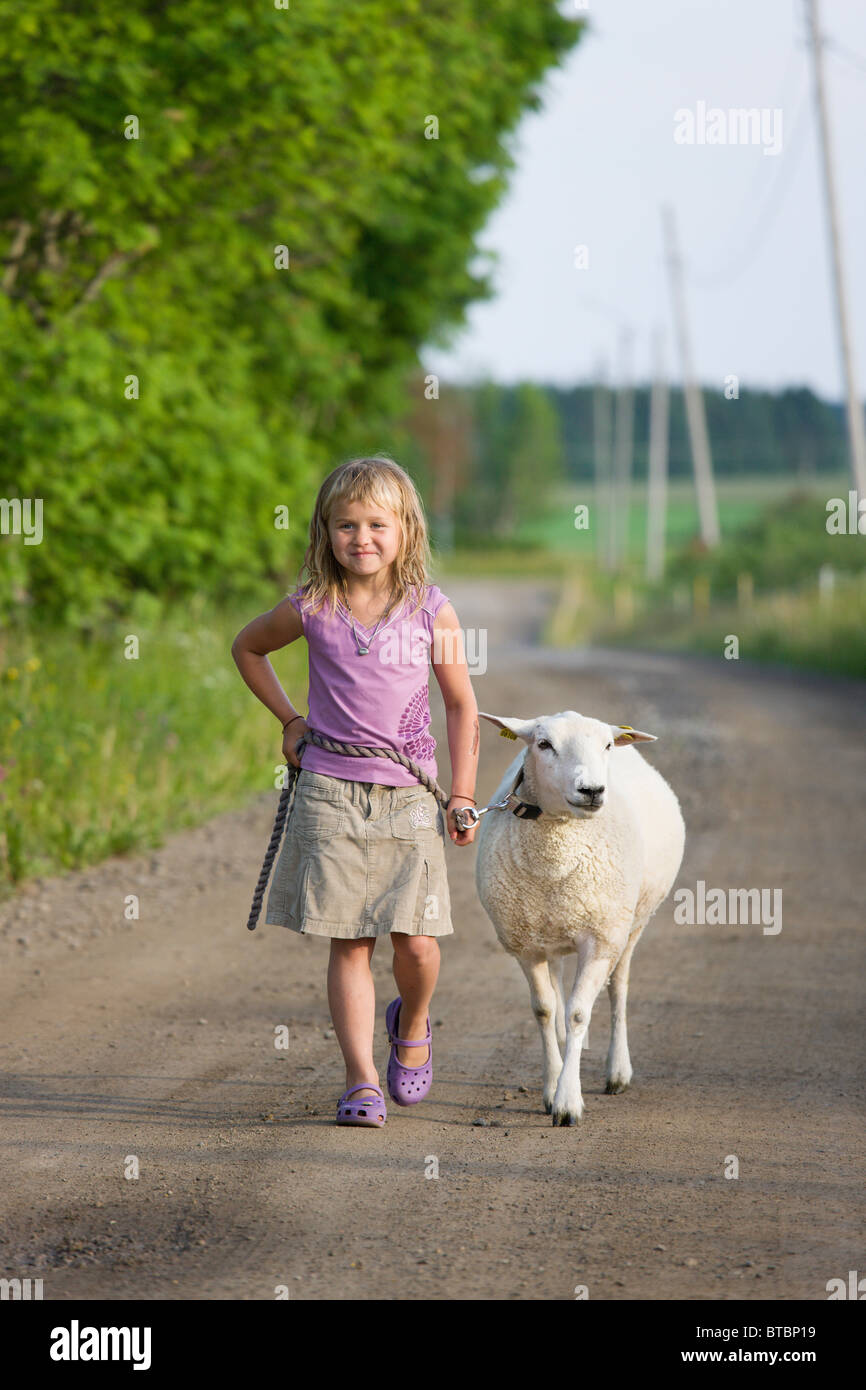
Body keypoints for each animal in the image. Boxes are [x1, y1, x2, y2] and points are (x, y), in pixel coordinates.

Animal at [474, 709, 685, 1127]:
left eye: (606, 745)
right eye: (543, 744)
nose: (592, 791)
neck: (557, 853)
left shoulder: (602, 938)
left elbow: (577, 1012)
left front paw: (567, 1102)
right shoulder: (525, 943)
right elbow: (544, 1010)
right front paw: (552, 1085)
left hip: (631, 923)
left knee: (618, 988)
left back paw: (617, 1071)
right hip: (551, 928)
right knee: (559, 990)